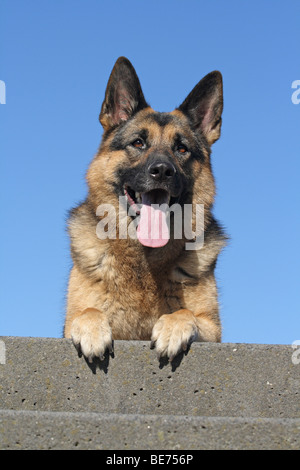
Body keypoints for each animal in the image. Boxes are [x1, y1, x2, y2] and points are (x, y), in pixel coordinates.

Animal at [64, 57, 226, 362]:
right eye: (138, 143)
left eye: (182, 149)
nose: (162, 170)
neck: (143, 263)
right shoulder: (69, 322)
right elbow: (87, 311)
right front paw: (92, 329)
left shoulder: (213, 329)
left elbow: (186, 312)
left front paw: (173, 326)